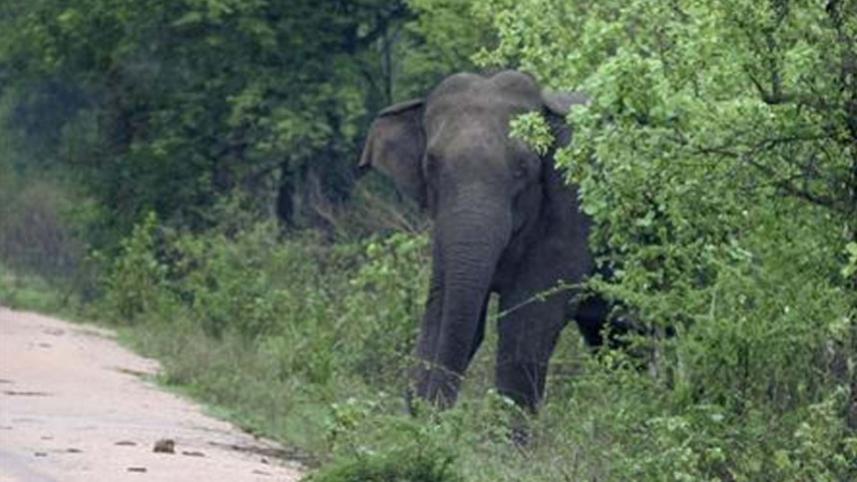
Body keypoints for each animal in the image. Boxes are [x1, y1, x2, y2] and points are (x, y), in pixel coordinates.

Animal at [358, 70, 611, 413]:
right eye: (431, 164)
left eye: (523, 168)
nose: (428, 410)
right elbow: (443, 307)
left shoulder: (575, 209)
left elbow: (526, 323)